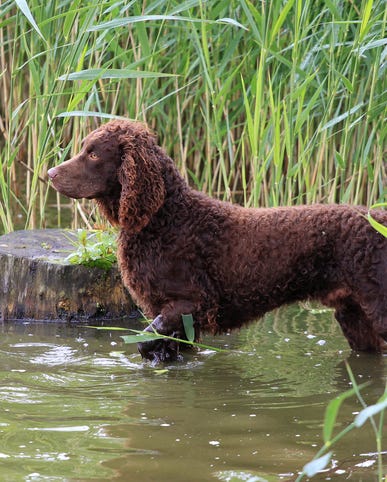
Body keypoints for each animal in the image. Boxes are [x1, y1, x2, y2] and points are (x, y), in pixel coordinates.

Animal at [48, 120, 387, 362]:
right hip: (354, 318)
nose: (49, 173)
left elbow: (145, 341)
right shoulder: (174, 316)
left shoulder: (192, 303)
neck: (163, 218)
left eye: (93, 153)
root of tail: (379, 218)